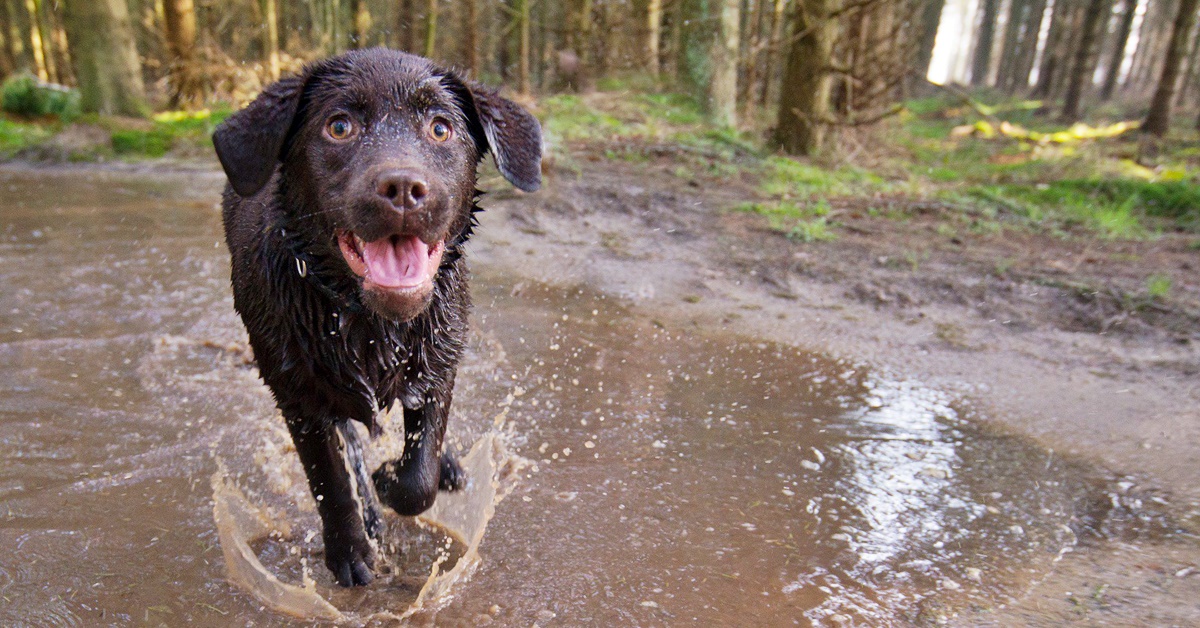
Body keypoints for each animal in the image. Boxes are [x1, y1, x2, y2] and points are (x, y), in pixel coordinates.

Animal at [213, 50, 542, 590]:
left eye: (440, 128)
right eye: (339, 126)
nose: (403, 187)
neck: (369, 323)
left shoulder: (439, 365)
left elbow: (419, 475)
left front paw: (396, 477)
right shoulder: (298, 397)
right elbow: (330, 482)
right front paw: (351, 551)